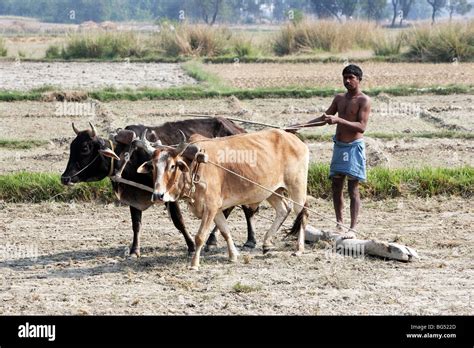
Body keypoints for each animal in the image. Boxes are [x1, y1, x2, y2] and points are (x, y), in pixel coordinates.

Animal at [135, 129, 310, 270]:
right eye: (153, 167)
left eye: (172, 166)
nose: (158, 195)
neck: (195, 164)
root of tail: (295, 140)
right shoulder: (216, 210)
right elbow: (225, 231)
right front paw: (233, 256)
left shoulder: (210, 207)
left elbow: (200, 236)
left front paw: (194, 264)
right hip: (271, 191)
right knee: (284, 209)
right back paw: (267, 243)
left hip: (297, 187)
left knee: (302, 213)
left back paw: (299, 249)